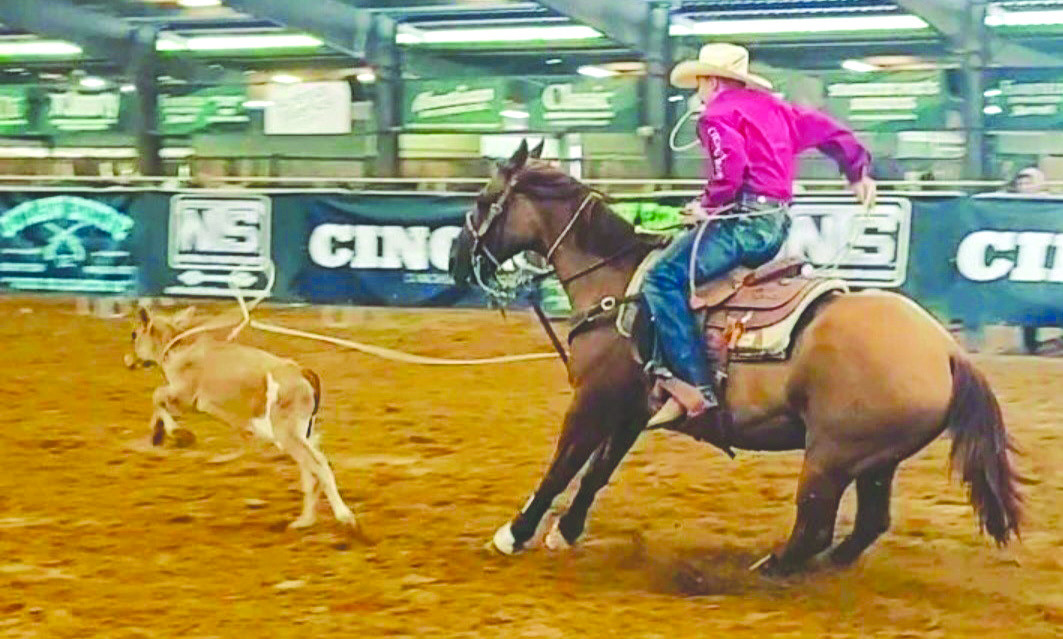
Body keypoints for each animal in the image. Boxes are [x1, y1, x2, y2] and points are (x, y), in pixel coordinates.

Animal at [124, 301, 357, 527]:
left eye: (134, 334)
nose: (128, 360)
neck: (178, 350)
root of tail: (301, 371)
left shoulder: (184, 396)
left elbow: (157, 396)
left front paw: (178, 434)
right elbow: (158, 402)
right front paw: (158, 434)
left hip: (288, 434)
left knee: (319, 465)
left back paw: (344, 517)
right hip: (303, 432)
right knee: (311, 472)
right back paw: (304, 521)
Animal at [446, 140, 1020, 578]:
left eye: (484, 198)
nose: (454, 261)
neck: (618, 283)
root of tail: (946, 352)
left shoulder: (592, 402)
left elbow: (562, 466)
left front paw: (513, 533)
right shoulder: (630, 410)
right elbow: (596, 472)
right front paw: (564, 533)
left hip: (831, 455)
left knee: (815, 526)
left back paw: (771, 568)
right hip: (875, 461)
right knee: (866, 525)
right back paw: (821, 566)